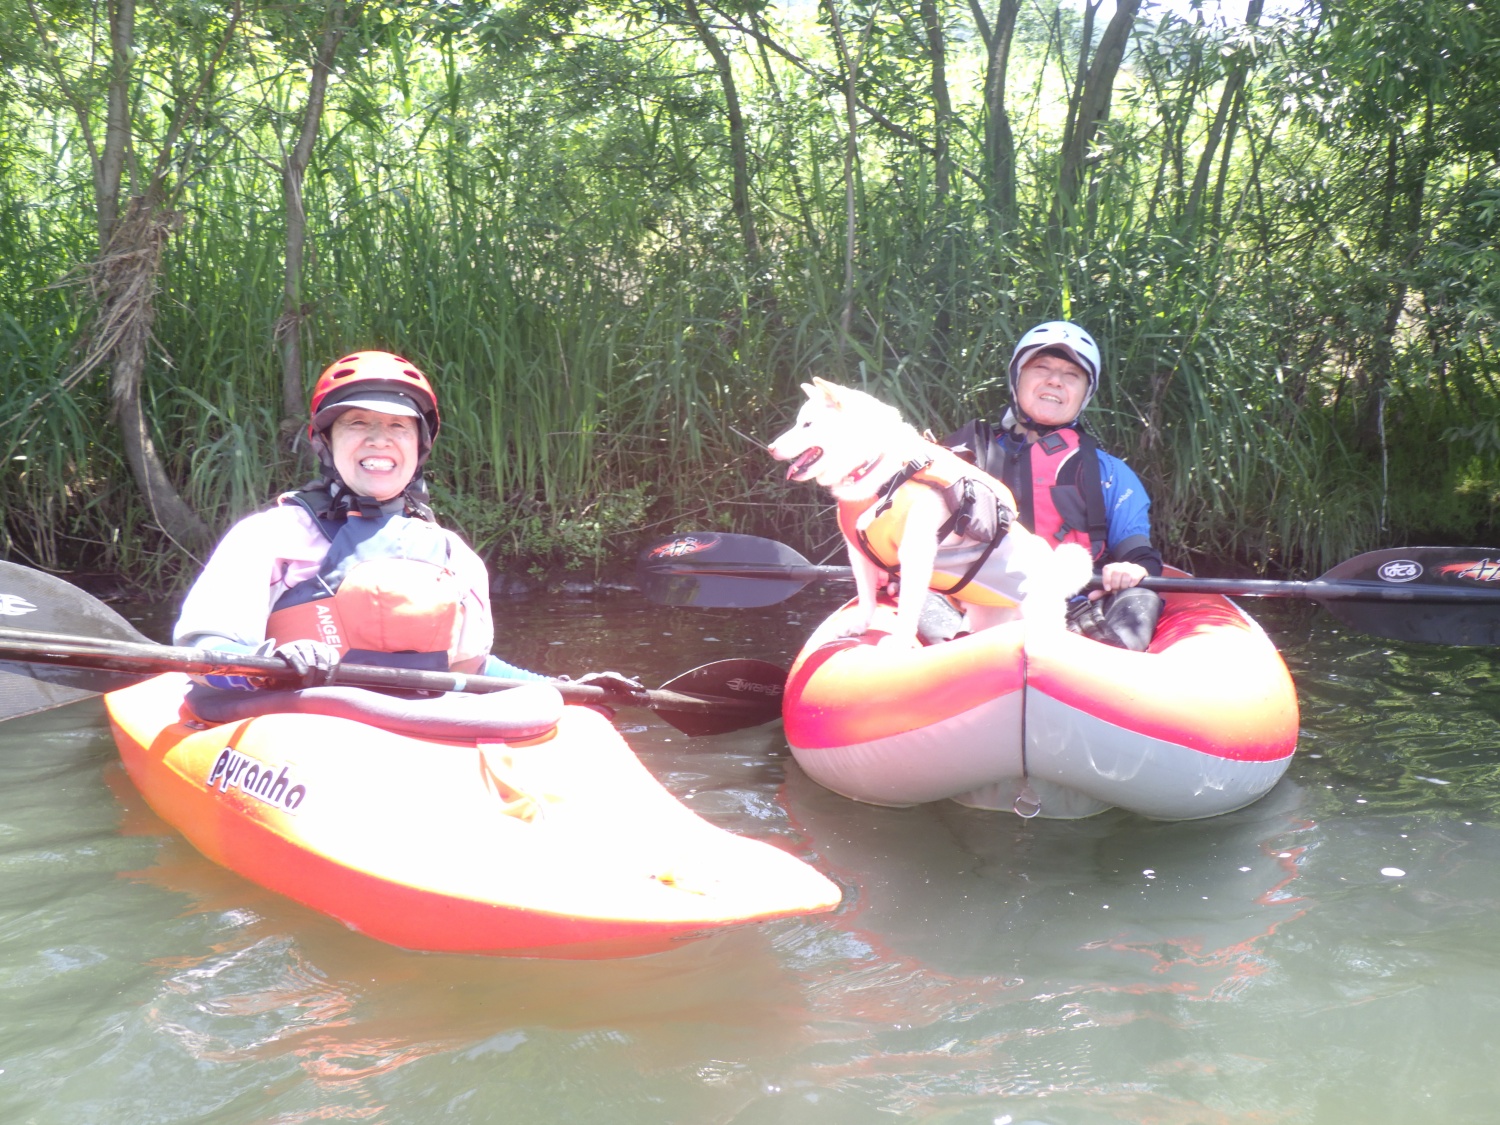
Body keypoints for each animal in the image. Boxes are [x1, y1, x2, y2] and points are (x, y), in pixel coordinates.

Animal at [768, 377, 1094, 645]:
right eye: (798, 422)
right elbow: (866, 597)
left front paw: (898, 644)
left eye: (808, 425)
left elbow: (907, 609)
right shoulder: (857, 553)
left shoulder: (915, 555)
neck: (881, 470)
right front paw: (859, 627)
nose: (770, 448)